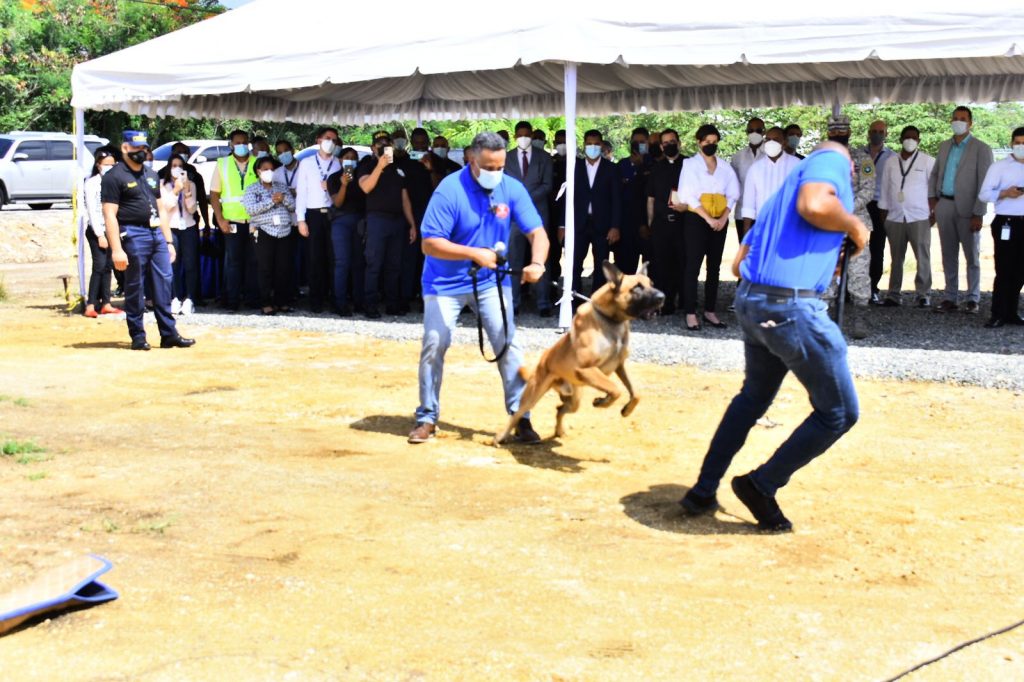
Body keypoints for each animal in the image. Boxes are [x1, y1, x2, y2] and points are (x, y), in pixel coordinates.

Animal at [493, 258, 663, 444]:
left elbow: (636, 393)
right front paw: (603, 402)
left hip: (575, 400)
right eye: (637, 287)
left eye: (651, 284)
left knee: (560, 408)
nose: (662, 297)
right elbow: (615, 389)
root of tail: (544, 359)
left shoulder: (620, 366)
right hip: (533, 395)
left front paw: (625, 409)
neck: (611, 320)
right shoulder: (586, 369)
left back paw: (559, 431)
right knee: (516, 414)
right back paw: (500, 437)